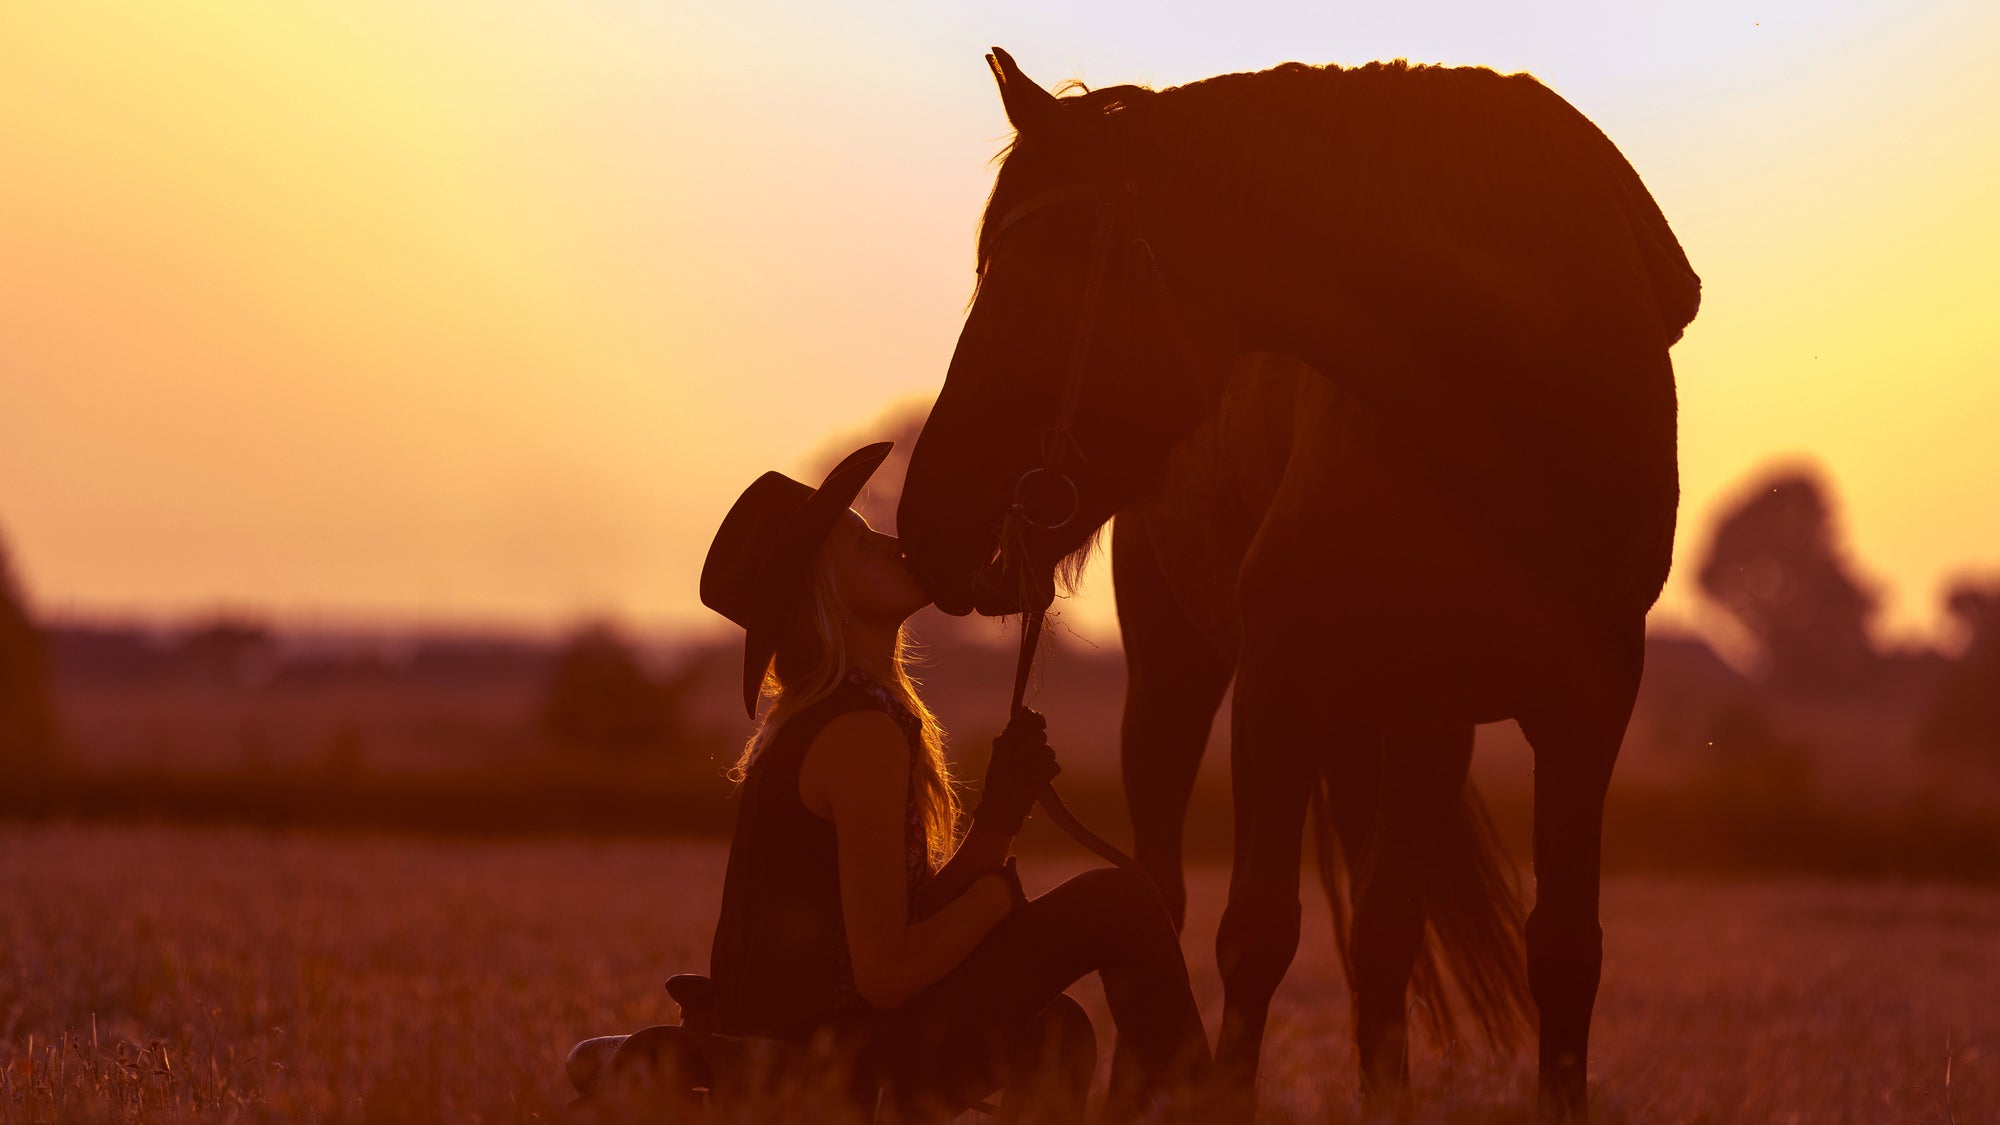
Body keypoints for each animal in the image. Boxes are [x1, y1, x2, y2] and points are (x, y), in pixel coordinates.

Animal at [895, 50, 1700, 1122]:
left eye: (1037, 278)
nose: (924, 523)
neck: (1517, 408)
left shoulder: (1590, 705)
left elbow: (1563, 951)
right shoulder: (1282, 687)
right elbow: (1256, 934)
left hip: (1420, 722)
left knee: (1383, 935)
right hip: (1176, 677)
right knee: (1162, 892)